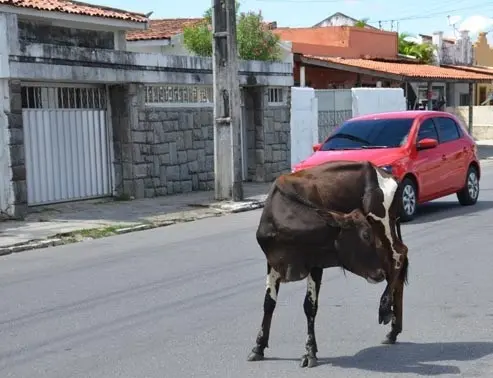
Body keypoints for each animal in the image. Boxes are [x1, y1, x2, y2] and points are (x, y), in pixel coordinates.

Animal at [246, 159, 408, 366]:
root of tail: (388, 175)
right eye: (365, 235)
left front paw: (309, 352)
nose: (377, 275)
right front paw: (258, 347)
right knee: (395, 264)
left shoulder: (316, 263)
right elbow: (268, 303)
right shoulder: (272, 262)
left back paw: (385, 309)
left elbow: (310, 306)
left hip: (383, 224)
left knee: (399, 256)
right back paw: (393, 331)